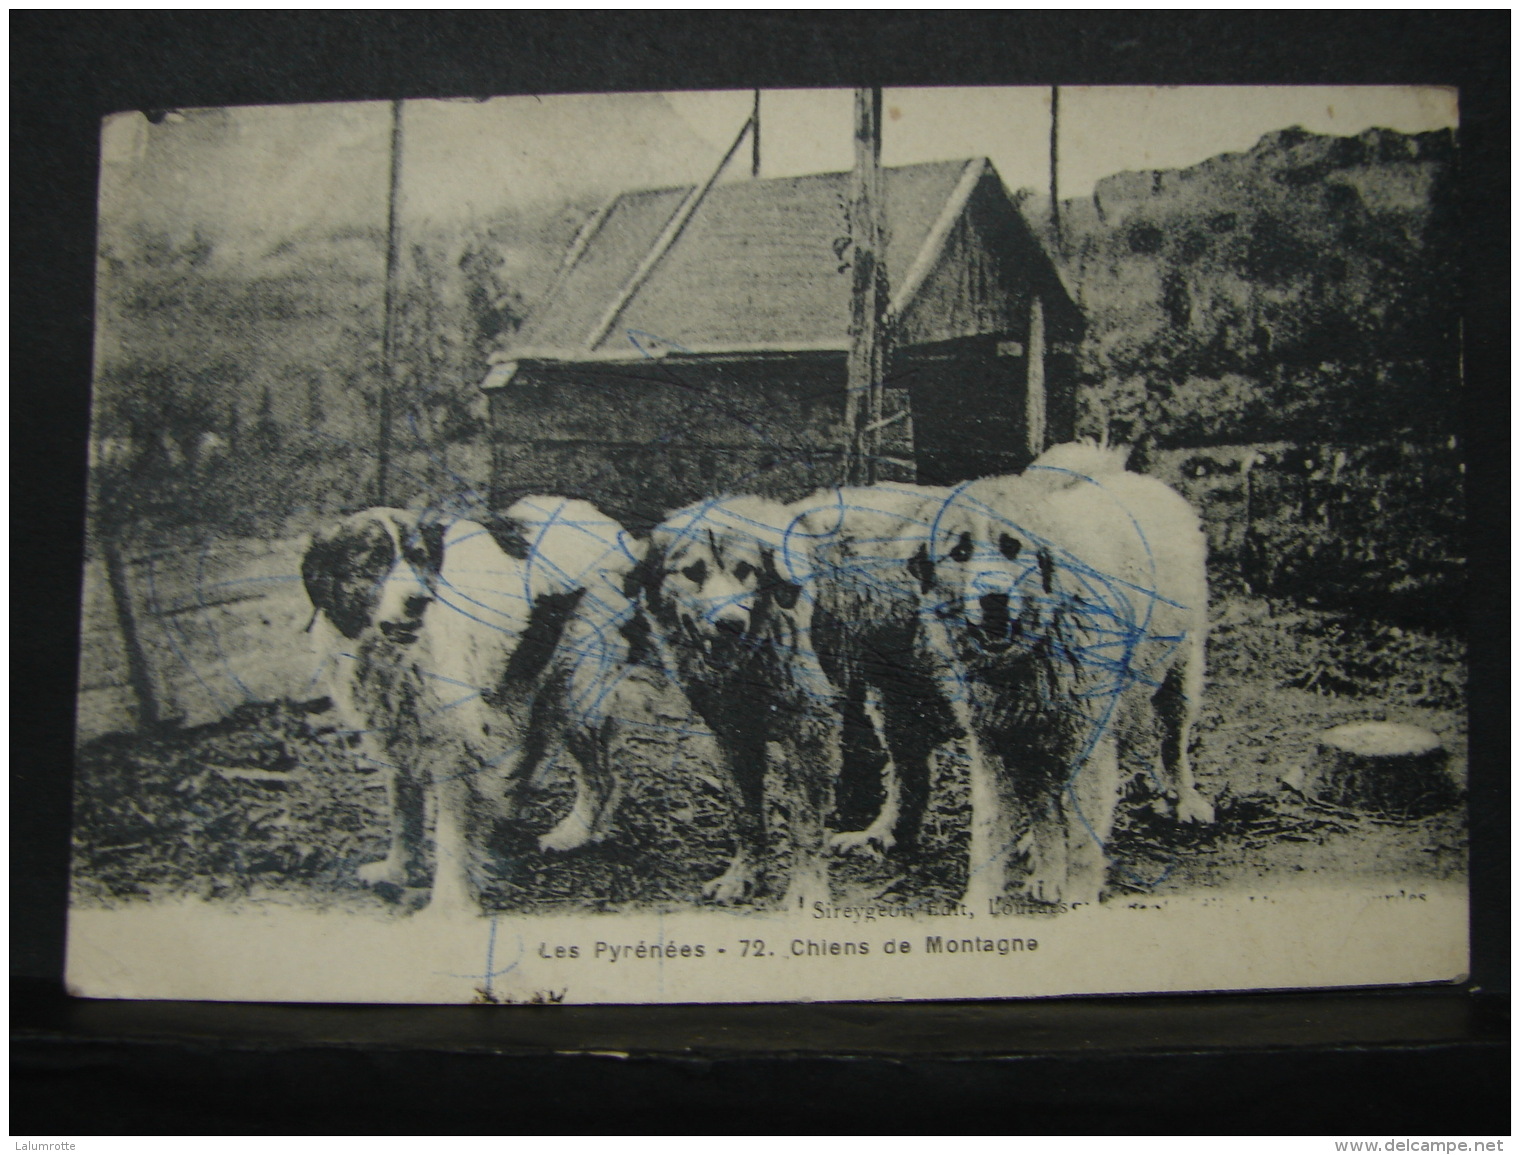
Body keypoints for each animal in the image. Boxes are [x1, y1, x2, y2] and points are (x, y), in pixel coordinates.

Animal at [302, 495, 641, 911]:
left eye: (417, 557)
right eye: (373, 561)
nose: (418, 601)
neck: (393, 654)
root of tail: (603, 519)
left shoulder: (455, 747)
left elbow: (450, 833)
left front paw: (448, 905)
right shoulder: (397, 733)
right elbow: (403, 810)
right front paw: (399, 871)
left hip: (575, 692)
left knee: (599, 775)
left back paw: (574, 833)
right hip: (522, 686)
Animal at [912, 446, 1209, 905]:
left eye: (1012, 546)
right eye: (960, 552)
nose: (993, 599)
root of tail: (1128, 475)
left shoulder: (1084, 742)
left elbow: (1084, 838)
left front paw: (1078, 898)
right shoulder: (999, 745)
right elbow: (1000, 828)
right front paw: (995, 895)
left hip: (1180, 675)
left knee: (1174, 744)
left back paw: (1186, 801)